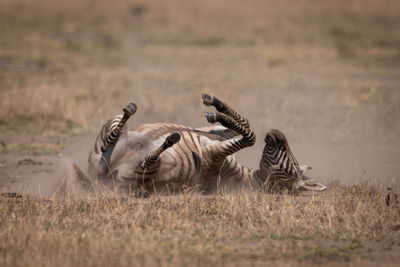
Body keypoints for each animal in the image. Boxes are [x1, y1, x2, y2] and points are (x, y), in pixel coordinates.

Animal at [72, 93, 326, 195]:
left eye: (292, 172)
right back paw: (130, 115)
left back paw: (168, 140)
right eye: (295, 165)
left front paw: (217, 111)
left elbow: (250, 137)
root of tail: (96, 181)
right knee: (112, 137)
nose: (277, 133)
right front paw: (217, 107)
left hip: (142, 176)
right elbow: (244, 125)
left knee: (147, 160)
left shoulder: (212, 157)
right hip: (106, 146)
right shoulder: (214, 137)